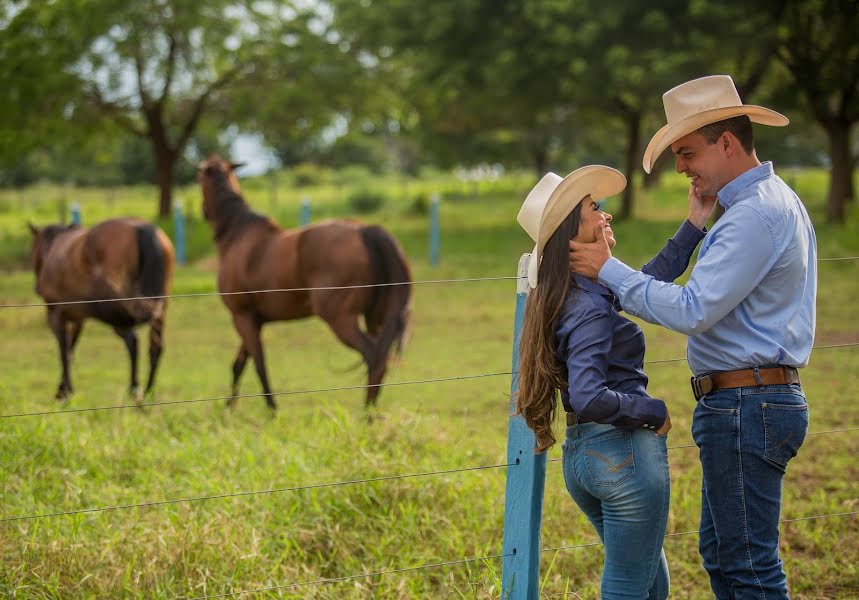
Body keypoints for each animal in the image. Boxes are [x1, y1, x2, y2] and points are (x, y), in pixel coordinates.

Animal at [29, 217, 176, 404]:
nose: (37, 288)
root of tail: (142, 227)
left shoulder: (55, 315)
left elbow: (64, 350)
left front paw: (64, 391)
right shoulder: (78, 319)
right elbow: (71, 348)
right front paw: (63, 389)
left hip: (118, 310)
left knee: (132, 341)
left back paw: (135, 390)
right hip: (159, 309)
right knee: (155, 347)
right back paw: (149, 392)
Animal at [198, 155, 414, 410]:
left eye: (199, 178)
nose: (203, 212)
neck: (238, 234)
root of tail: (364, 230)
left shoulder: (242, 317)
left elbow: (259, 365)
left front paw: (271, 411)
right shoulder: (254, 320)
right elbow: (239, 365)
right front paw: (228, 410)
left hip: (340, 319)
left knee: (374, 358)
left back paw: (366, 415)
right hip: (375, 317)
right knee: (381, 357)